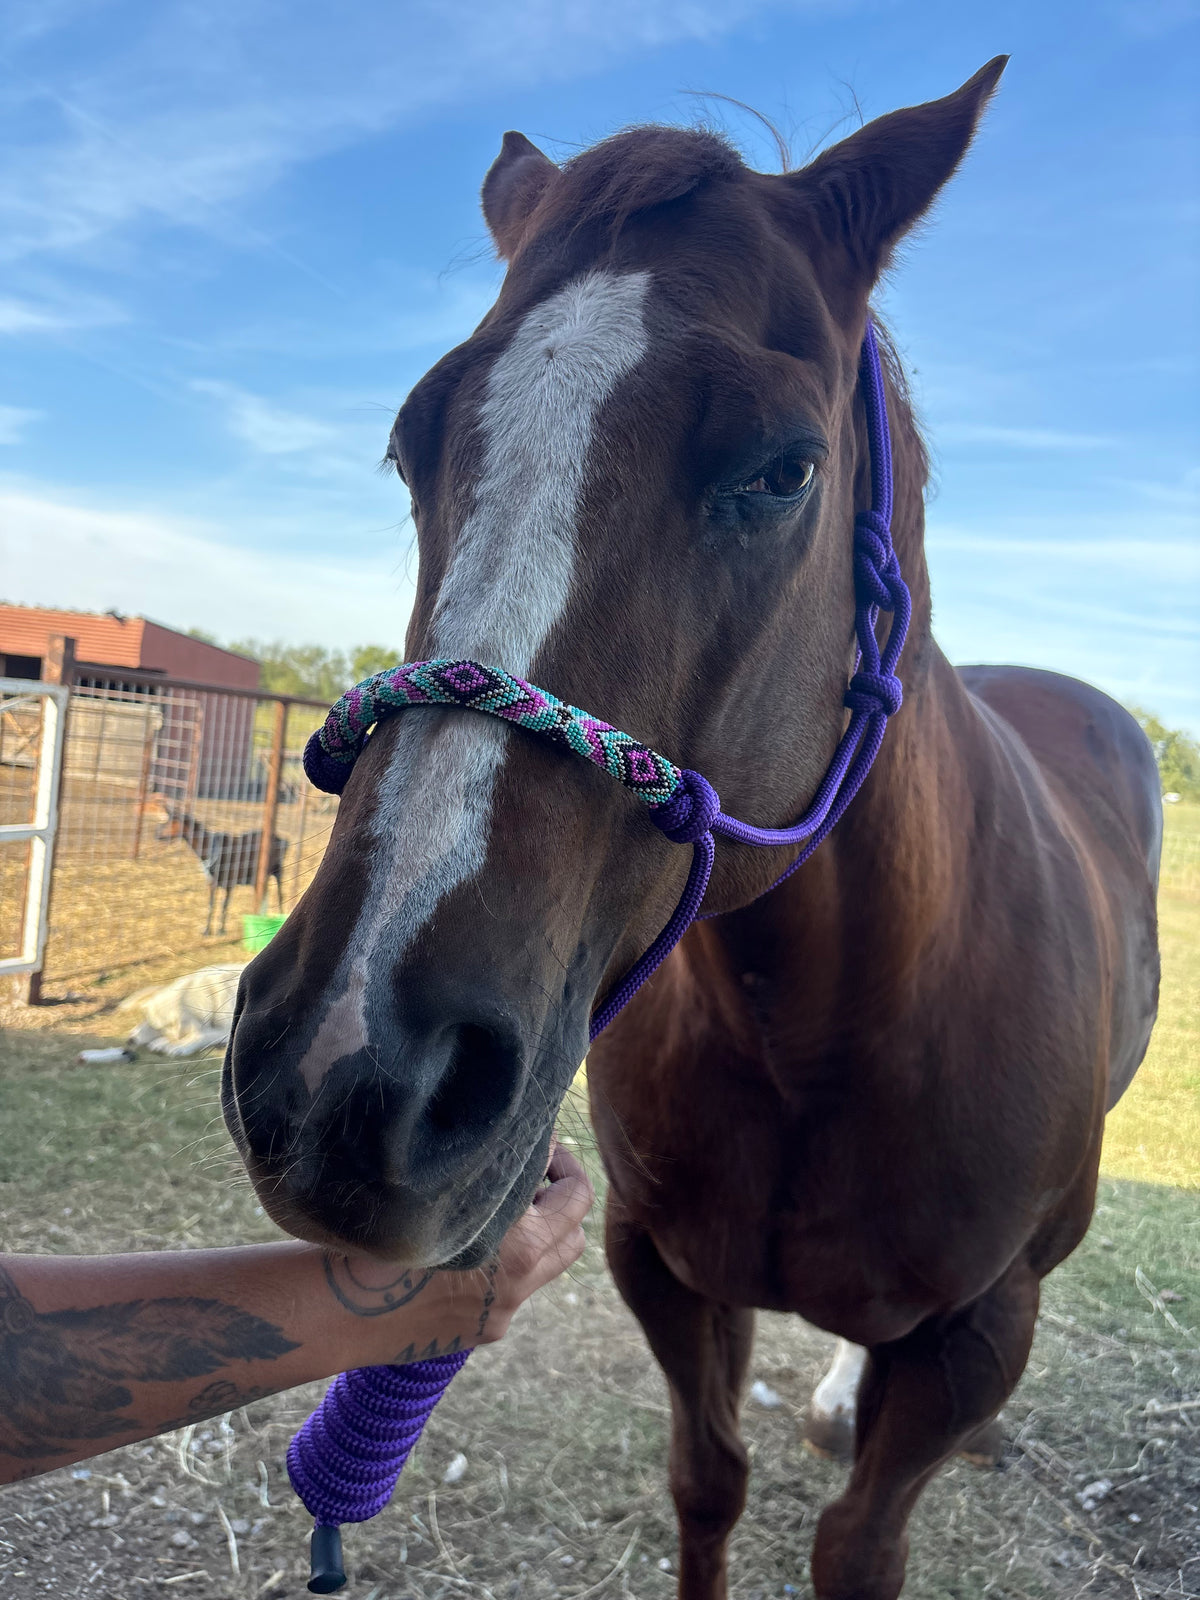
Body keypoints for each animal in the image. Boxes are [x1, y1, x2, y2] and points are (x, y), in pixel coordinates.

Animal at [222, 58, 1162, 1599]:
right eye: (415, 441)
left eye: (782, 469)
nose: (346, 1071)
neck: (830, 1030)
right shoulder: (661, 1268)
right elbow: (705, 1480)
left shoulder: (979, 1334)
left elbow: (860, 1545)